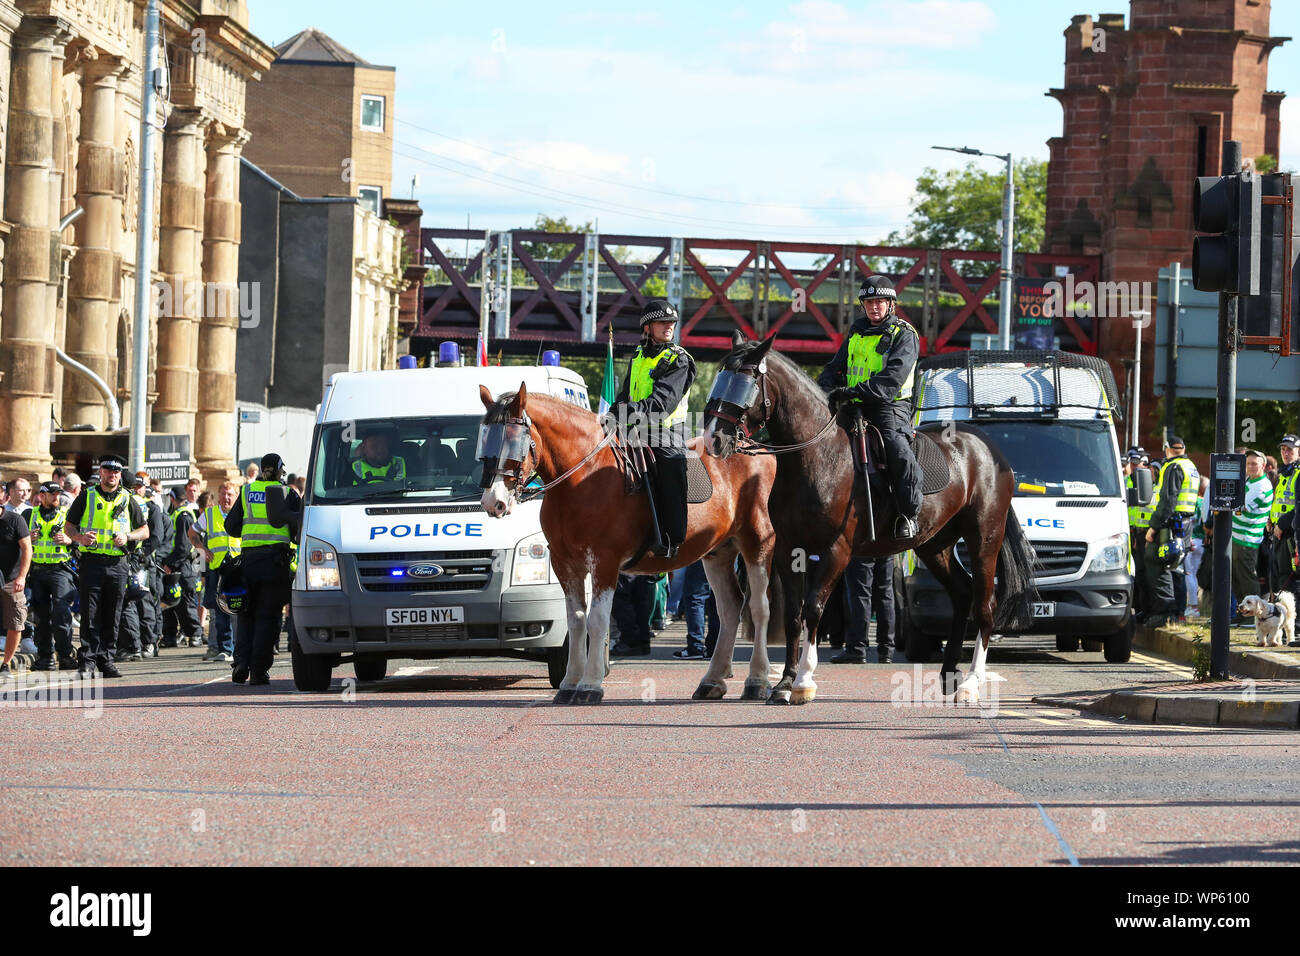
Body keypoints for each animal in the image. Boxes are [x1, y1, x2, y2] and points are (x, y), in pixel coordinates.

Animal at [480, 385, 774, 707]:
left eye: (513, 440)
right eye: (485, 438)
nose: (493, 503)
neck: (582, 476)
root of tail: (757, 449)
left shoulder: (605, 562)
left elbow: (597, 621)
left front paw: (590, 685)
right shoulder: (564, 564)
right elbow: (576, 622)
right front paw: (570, 684)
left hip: (757, 543)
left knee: (759, 607)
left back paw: (757, 680)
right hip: (717, 552)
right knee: (729, 607)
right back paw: (713, 680)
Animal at [702, 335, 1034, 702]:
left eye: (745, 382)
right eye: (721, 377)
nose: (713, 438)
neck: (817, 456)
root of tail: (988, 448)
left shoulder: (836, 550)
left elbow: (813, 609)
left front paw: (803, 682)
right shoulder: (789, 550)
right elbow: (792, 615)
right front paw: (784, 683)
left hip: (984, 538)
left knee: (984, 604)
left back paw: (972, 683)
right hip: (935, 545)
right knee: (962, 595)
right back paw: (949, 675)